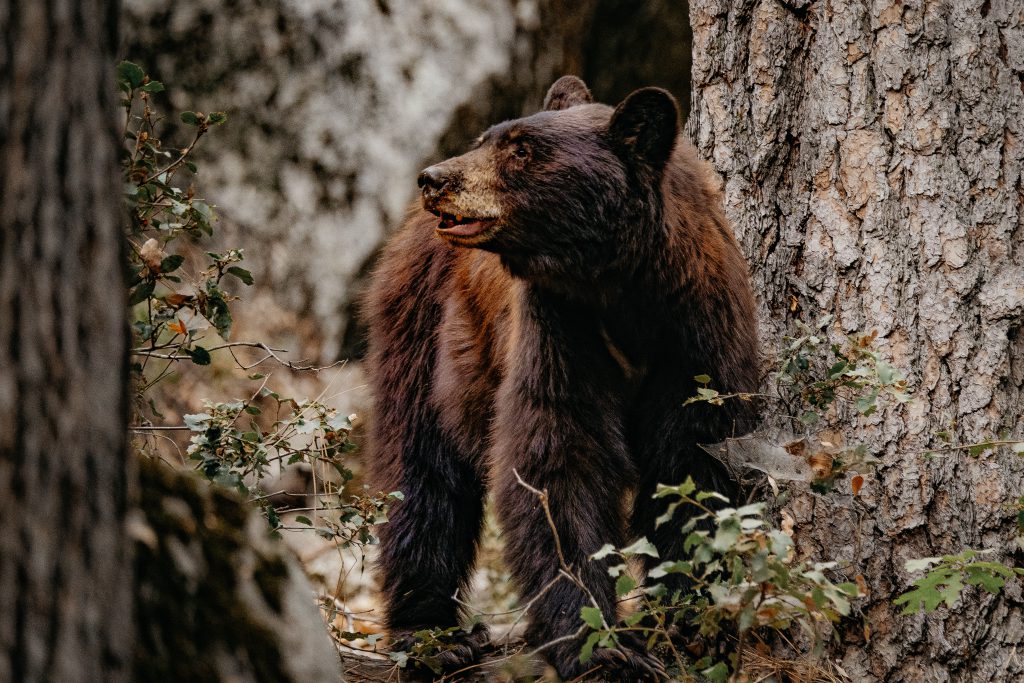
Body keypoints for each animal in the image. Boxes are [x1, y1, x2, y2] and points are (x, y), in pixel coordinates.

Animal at [368, 76, 761, 679]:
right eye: (488, 138)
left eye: (522, 149)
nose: (434, 179)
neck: (621, 289)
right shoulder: (559, 329)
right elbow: (556, 460)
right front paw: (603, 647)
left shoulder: (699, 333)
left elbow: (694, 460)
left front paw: (690, 620)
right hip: (421, 327)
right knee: (420, 472)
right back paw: (433, 636)